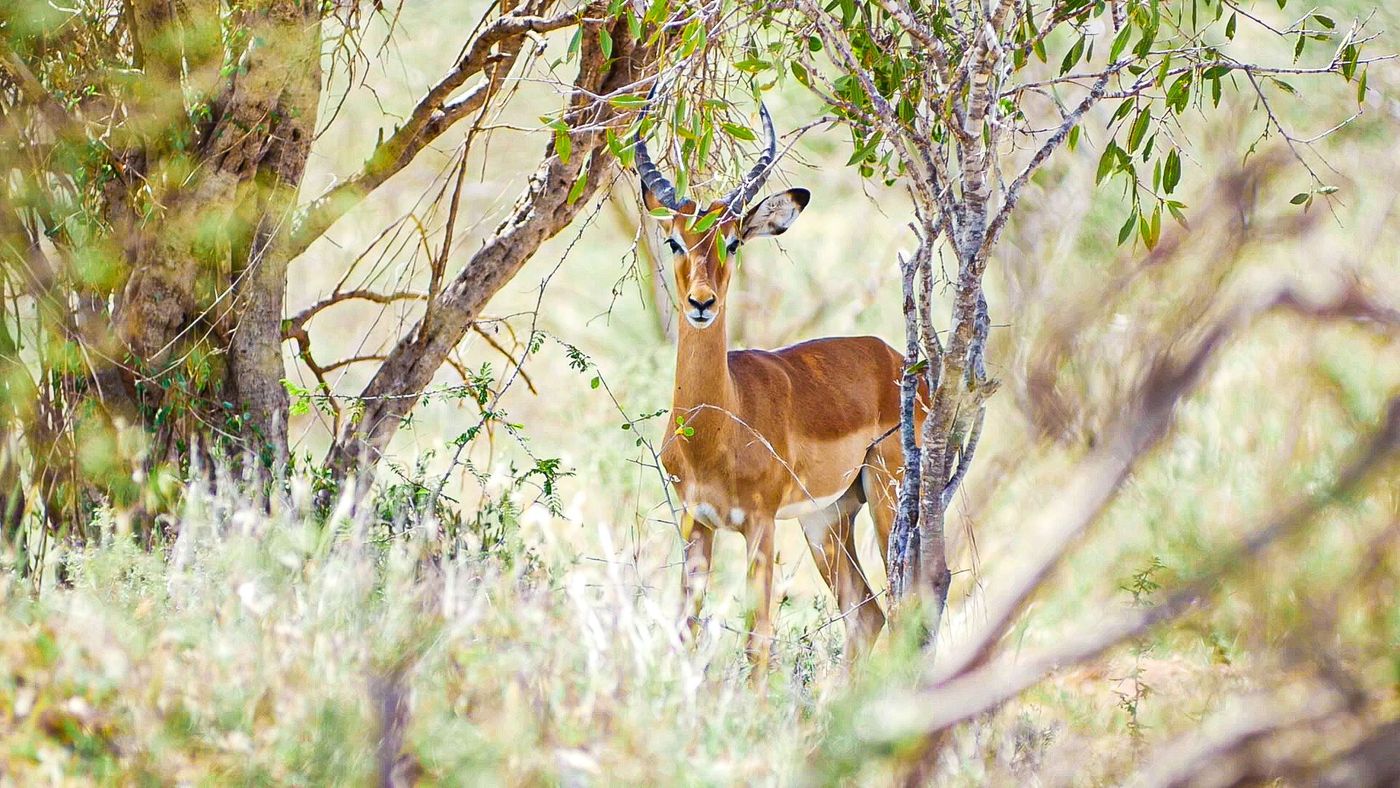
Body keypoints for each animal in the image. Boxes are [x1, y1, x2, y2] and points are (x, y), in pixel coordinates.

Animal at [635, 100, 922, 669]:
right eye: (675, 239)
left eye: (731, 241)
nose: (702, 303)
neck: (717, 423)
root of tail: (893, 358)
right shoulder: (696, 523)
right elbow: (686, 631)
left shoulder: (760, 523)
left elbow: (758, 637)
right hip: (827, 520)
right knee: (867, 616)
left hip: (888, 499)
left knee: (905, 612)